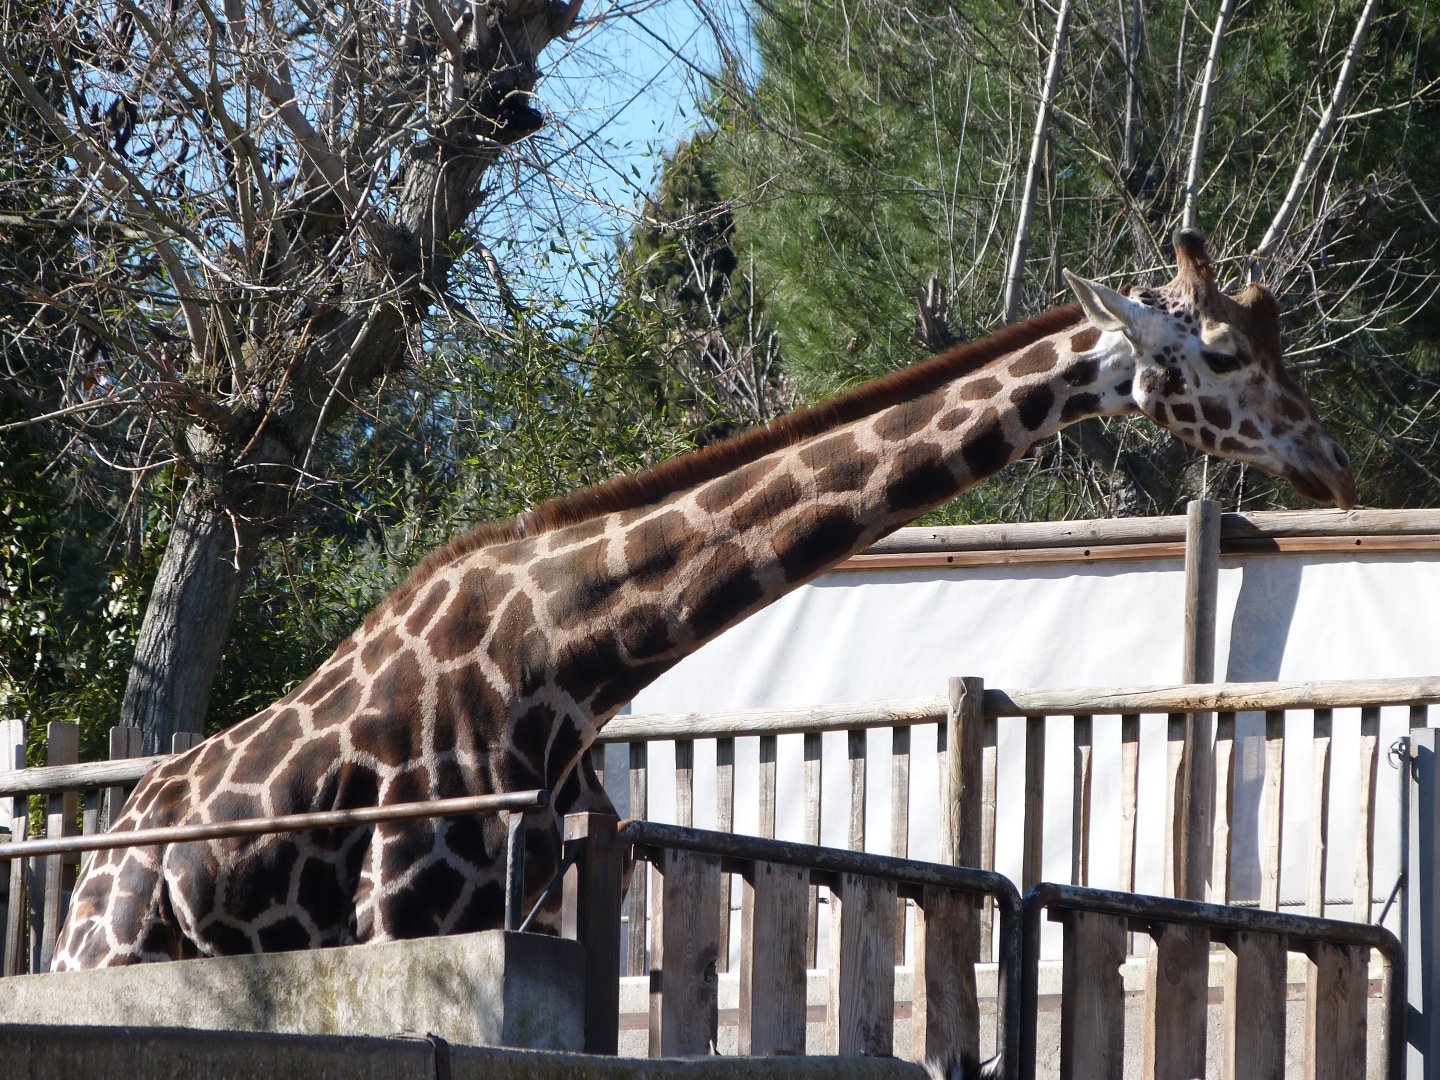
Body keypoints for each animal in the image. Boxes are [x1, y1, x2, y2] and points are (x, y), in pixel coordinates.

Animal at [52, 231, 1354, 968]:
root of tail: (99, 862)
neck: (563, 666)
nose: (1332, 464)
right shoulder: (408, 920)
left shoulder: (532, 916)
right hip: (108, 956)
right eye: (1223, 355)